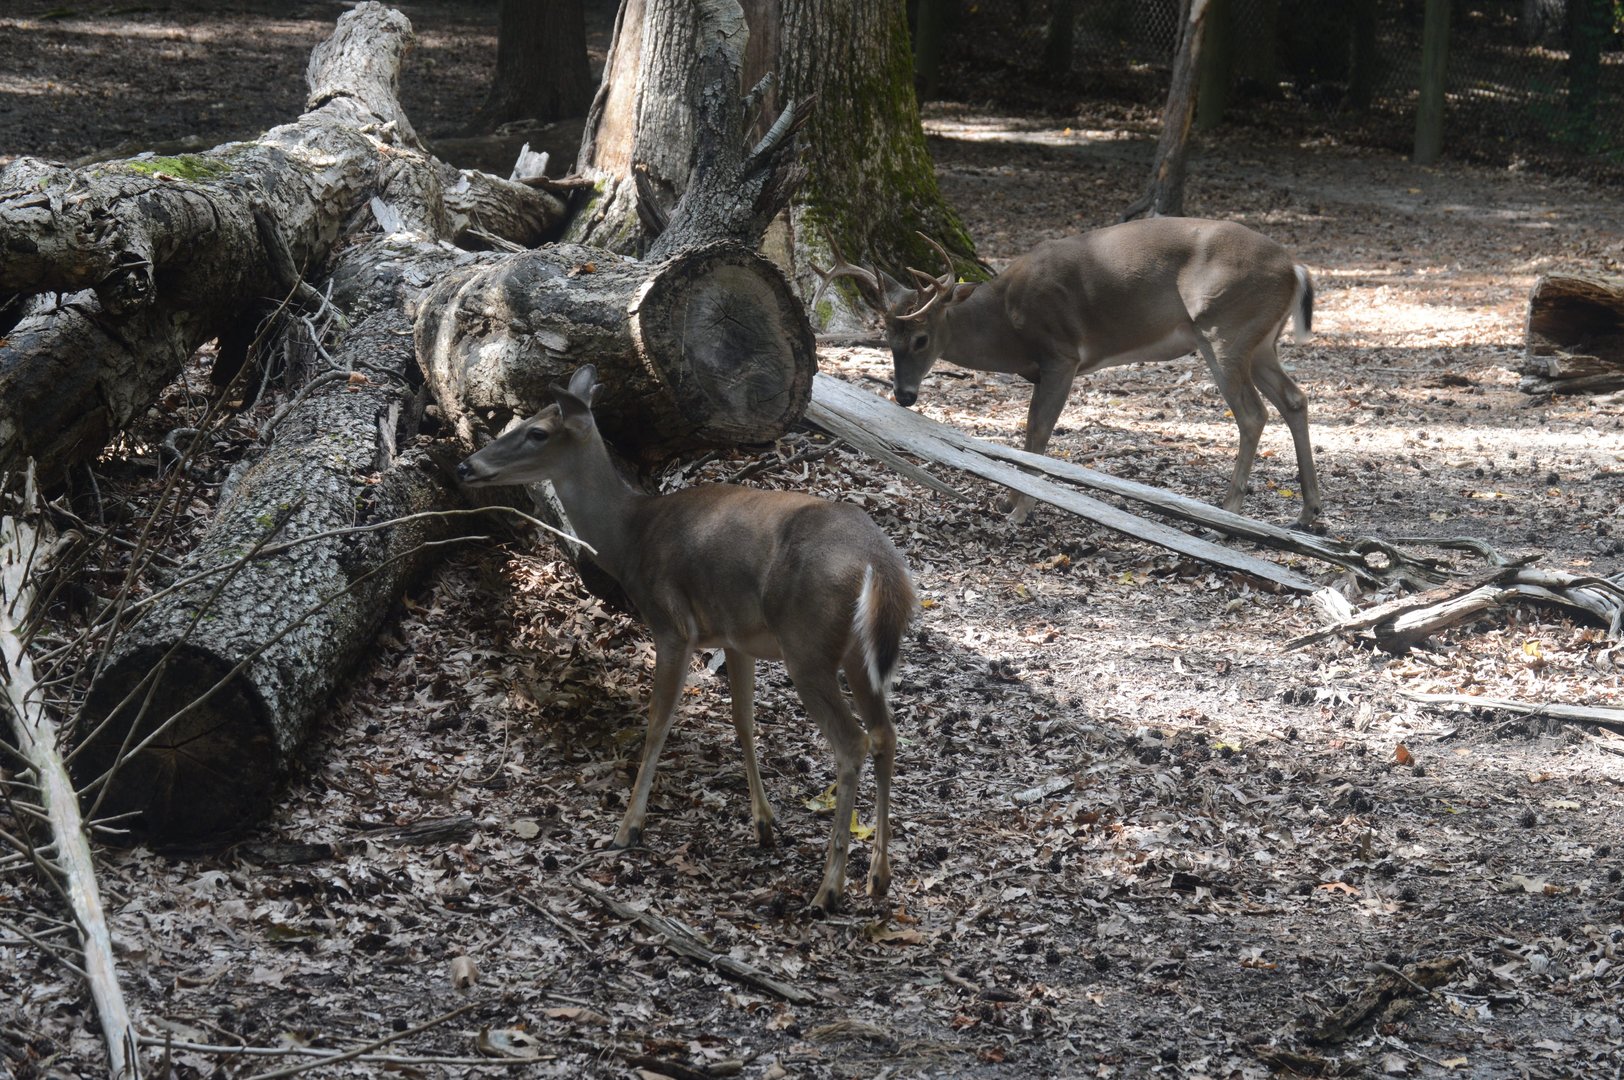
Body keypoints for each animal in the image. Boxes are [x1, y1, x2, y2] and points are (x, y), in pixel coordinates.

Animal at [456, 365, 917, 912]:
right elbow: (742, 722)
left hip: (807, 648)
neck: (630, 535)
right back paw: (878, 877)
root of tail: (878, 563)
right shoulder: (736, 639)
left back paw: (829, 888)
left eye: (538, 432)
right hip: (857, 657)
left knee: (852, 741)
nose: (466, 465)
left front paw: (627, 828)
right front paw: (763, 824)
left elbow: (657, 722)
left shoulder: (671, 625)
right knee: (886, 734)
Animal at [816, 217, 1321, 527]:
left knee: (1253, 414)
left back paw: (1229, 512)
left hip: (1224, 329)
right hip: (1260, 341)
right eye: (887, 337)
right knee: (1295, 398)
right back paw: (1308, 512)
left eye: (921, 339)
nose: (903, 395)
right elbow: (1028, 433)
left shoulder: (1061, 355)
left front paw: (1020, 509)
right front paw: (1008, 498)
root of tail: (1296, 267)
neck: (1006, 322)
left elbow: (1039, 431)